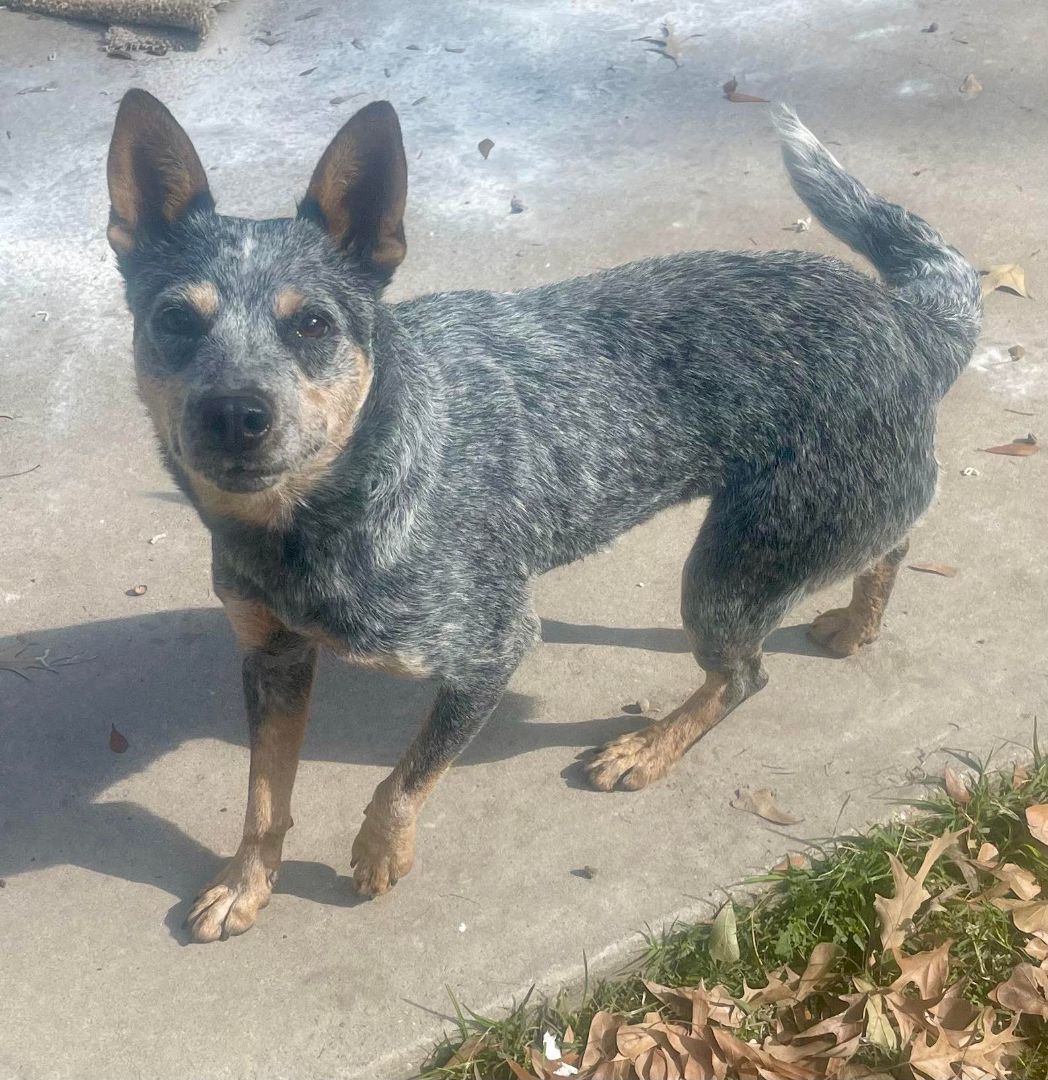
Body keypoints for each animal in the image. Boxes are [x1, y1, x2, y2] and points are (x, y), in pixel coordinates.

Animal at [106, 88, 981, 941]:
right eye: (176, 320)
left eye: (313, 323)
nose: (234, 413)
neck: (308, 519)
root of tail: (912, 320)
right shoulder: (271, 658)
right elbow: (264, 796)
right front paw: (246, 884)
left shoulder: (491, 650)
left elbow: (403, 780)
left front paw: (380, 853)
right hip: (826, 520)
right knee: (892, 542)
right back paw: (857, 622)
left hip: (729, 572)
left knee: (743, 675)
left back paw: (649, 748)